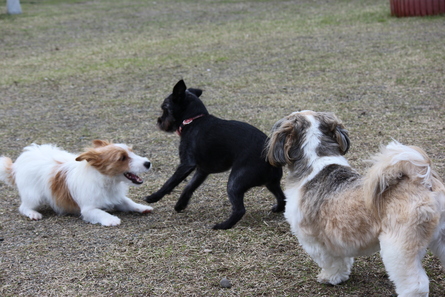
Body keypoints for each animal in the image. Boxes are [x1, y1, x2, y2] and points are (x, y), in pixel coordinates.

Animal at [0, 140, 153, 225]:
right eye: (122, 158)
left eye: (132, 152)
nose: (148, 163)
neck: (107, 181)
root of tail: (17, 164)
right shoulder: (88, 209)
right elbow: (100, 213)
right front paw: (111, 219)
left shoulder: (116, 198)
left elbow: (128, 202)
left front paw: (141, 207)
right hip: (33, 196)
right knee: (24, 207)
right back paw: (33, 213)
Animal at [146, 79, 284, 229]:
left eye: (165, 108)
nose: (159, 121)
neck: (193, 120)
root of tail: (271, 158)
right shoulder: (202, 170)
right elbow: (189, 187)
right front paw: (180, 205)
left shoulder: (186, 164)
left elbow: (170, 182)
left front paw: (153, 197)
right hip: (271, 183)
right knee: (282, 198)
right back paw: (278, 208)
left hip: (235, 182)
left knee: (240, 210)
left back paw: (222, 226)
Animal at [266, 110, 442, 296]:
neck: (316, 161)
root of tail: (421, 180)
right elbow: (343, 259)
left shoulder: (315, 241)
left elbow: (331, 262)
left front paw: (330, 278)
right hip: (441, 238)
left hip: (400, 247)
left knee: (416, 283)